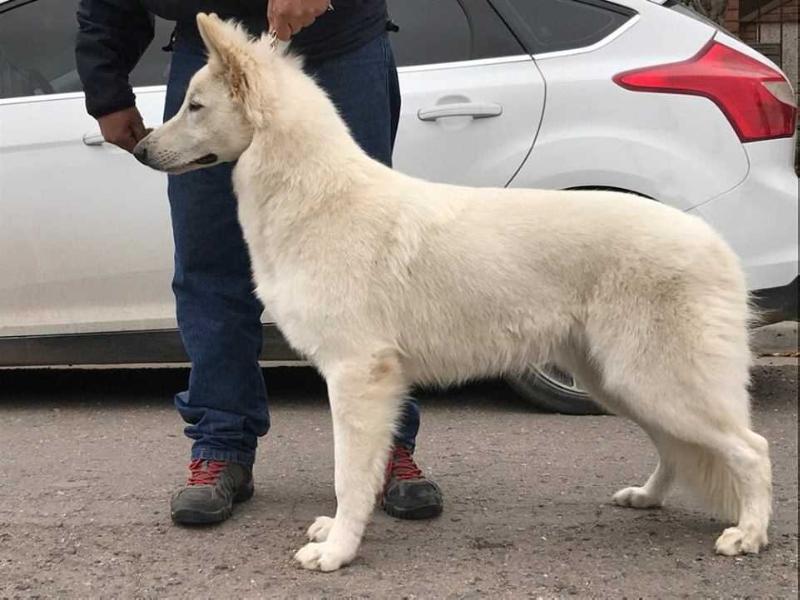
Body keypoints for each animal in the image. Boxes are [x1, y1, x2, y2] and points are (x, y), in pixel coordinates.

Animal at [134, 14, 772, 572]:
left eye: (194, 106)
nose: (138, 149)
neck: (316, 196)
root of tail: (718, 246)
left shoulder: (357, 377)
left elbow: (348, 475)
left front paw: (338, 552)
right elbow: (355, 476)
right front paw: (338, 532)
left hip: (653, 382)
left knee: (753, 448)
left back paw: (749, 534)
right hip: (622, 384)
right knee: (678, 449)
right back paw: (649, 497)